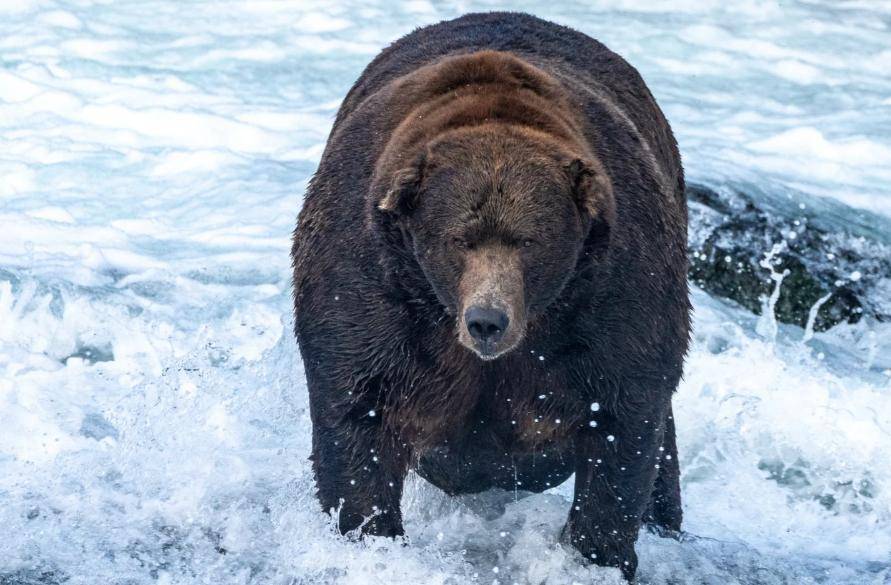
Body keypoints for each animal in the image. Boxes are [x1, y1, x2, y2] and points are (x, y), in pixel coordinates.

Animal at [291, 12, 690, 581]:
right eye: (459, 239)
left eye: (529, 240)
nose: (487, 320)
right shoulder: (371, 280)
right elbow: (358, 410)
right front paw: (369, 533)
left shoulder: (614, 289)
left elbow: (623, 422)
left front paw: (597, 552)